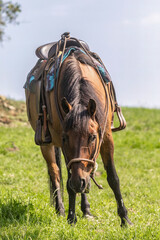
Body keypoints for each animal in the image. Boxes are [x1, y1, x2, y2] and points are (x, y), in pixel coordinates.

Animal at [24, 44, 131, 225]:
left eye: (93, 137)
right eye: (66, 138)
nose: (77, 182)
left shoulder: (106, 136)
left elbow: (113, 178)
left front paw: (125, 219)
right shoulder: (62, 142)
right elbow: (68, 181)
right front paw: (71, 218)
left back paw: (86, 209)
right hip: (46, 144)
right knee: (55, 173)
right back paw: (60, 209)